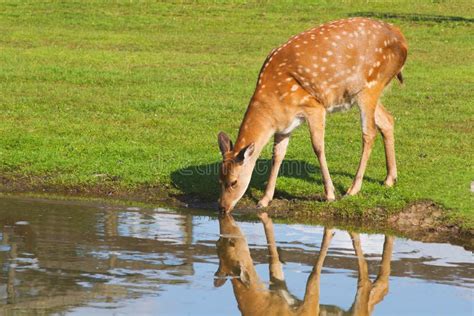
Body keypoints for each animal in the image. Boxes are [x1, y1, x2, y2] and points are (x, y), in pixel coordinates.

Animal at [218, 17, 408, 215]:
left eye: (233, 182)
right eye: (219, 180)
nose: (222, 207)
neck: (274, 105)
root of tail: (401, 38)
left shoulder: (314, 107)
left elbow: (318, 147)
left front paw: (330, 194)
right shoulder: (285, 125)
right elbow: (277, 155)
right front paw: (264, 200)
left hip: (371, 85)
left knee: (369, 132)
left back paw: (353, 189)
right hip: (363, 92)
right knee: (387, 120)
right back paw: (389, 179)